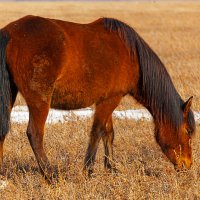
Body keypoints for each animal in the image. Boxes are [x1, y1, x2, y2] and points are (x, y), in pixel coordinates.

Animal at [0, 15, 195, 181]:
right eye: (187, 131)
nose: (187, 165)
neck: (132, 55)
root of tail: (10, 33)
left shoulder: (106, 100)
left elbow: (108, 133)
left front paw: (111, 168)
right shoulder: (111, 100)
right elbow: (97, 132)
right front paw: (88, 170)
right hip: (40, 101)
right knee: (35, 134)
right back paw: (51, 175)